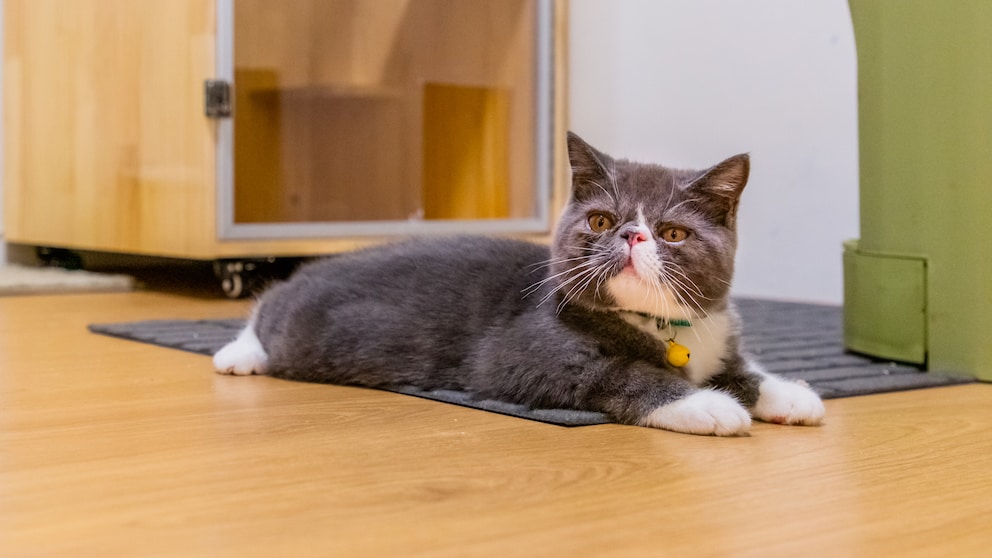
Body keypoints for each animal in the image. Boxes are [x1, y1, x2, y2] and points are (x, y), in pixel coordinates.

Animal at [213, 132, 824, 438]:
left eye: (672, 233)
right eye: (601, 220)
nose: (631, 236)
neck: (663, 329)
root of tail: (315, 266)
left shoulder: (718, 335)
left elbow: (745, 371)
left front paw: (789, 393)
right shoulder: (521, 354)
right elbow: (623, 373)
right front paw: (706, 404)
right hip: (304, 330)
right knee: (266, 309)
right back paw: (236, 354)